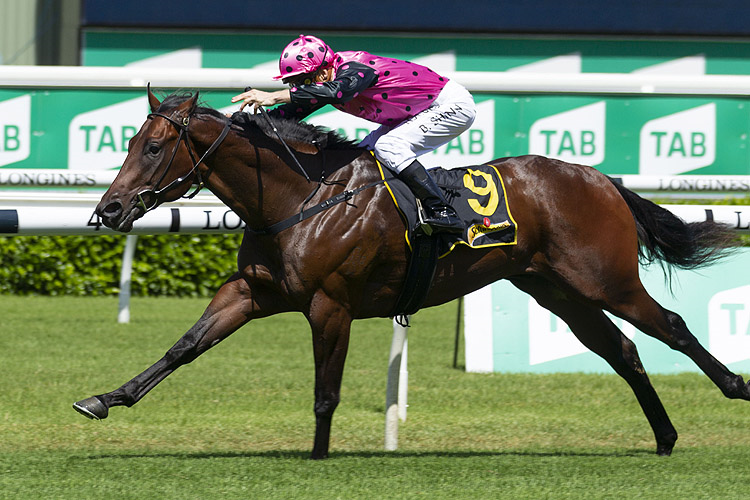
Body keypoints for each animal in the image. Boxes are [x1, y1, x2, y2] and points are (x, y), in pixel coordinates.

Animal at [72, 87, 748, 458]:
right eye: (128, 142)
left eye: (153, 147)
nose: (109, 210)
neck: (302, 196)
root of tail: (601, 178)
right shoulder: (253, 292)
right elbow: (184, 346)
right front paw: (104, 398)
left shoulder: (330, 304)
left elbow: (325, 391)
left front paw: (317, 458)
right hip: (557, 290)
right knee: (623, 351)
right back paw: (664, 437)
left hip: (605, 279)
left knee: (671, 327)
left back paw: (734, 388)